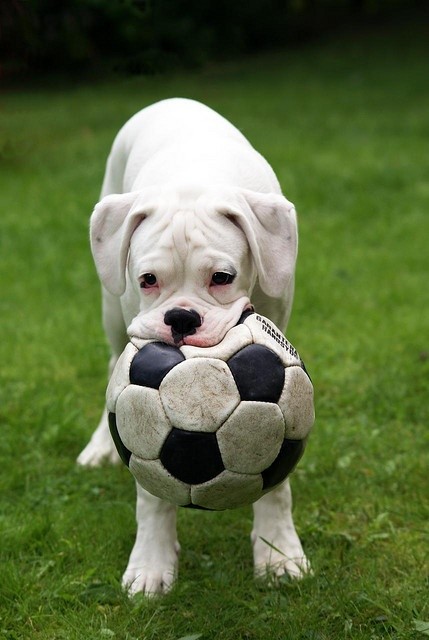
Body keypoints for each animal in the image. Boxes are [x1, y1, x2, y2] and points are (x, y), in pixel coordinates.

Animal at [77, 99, 310, 596]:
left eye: (222, 277)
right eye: (148, 280)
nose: (181, 318)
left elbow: (276, 476)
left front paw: (278, 551)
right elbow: (151, 488)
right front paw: (151, 562)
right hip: (111, 310)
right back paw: (100, 446)